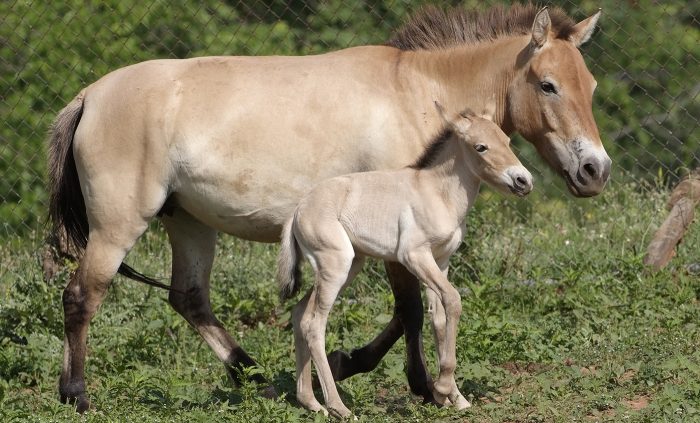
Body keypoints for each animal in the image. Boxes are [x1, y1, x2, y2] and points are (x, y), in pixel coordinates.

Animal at [276, 102, 532, 418]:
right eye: (480, 146)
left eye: (507, 141)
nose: (524, 181)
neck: (437, 193)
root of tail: (298, 210)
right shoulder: (414, 256)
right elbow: (454, 300)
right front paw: (442, 389)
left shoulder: (441, 260)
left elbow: (440, 317)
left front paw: (454, 397)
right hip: (336, 267)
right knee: (314, 325)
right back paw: (340, 408)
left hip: (347, 267)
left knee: (299, 314)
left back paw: (311, 403)